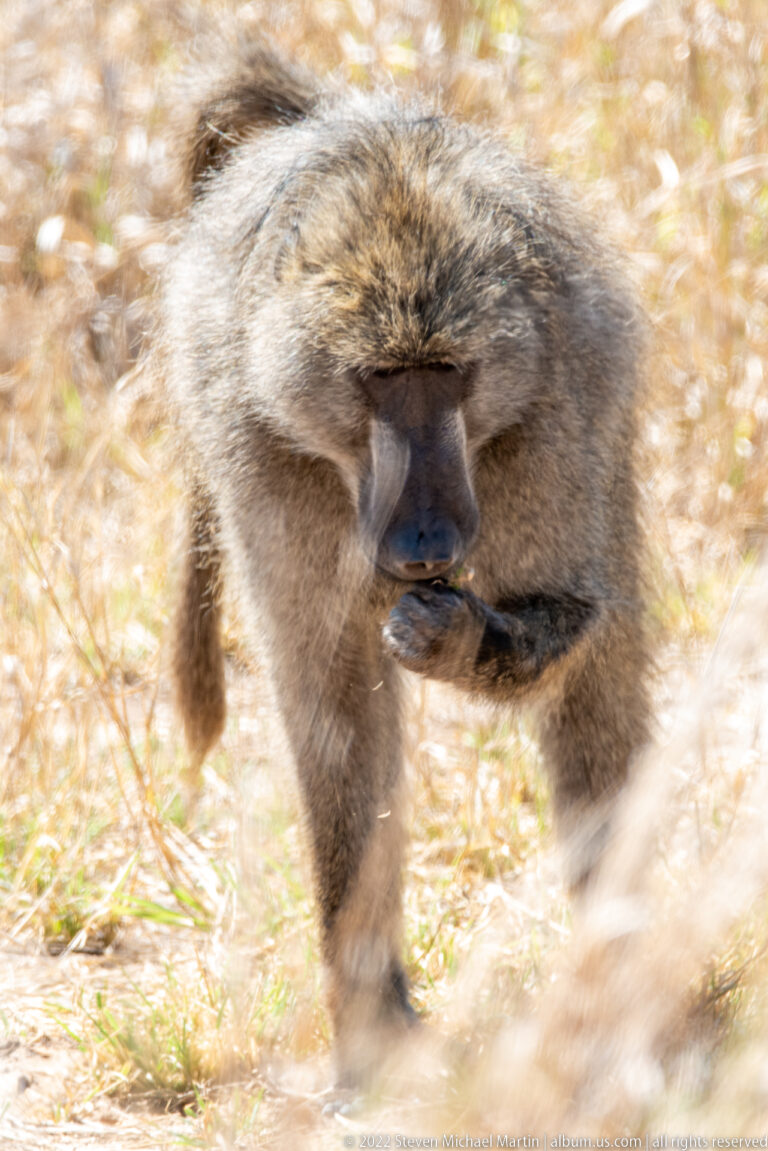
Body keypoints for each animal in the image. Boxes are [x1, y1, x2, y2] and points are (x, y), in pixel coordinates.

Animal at [160, 41, 650, 1082]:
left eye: (449, 373)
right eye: (381, 379)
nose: (426, 542)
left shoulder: (557, 413)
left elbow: (573, 623)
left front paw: (452, 636)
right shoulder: (269, 456)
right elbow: (335, 708)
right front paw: (370, 1038)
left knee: (601, 696)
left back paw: (628, 1001)